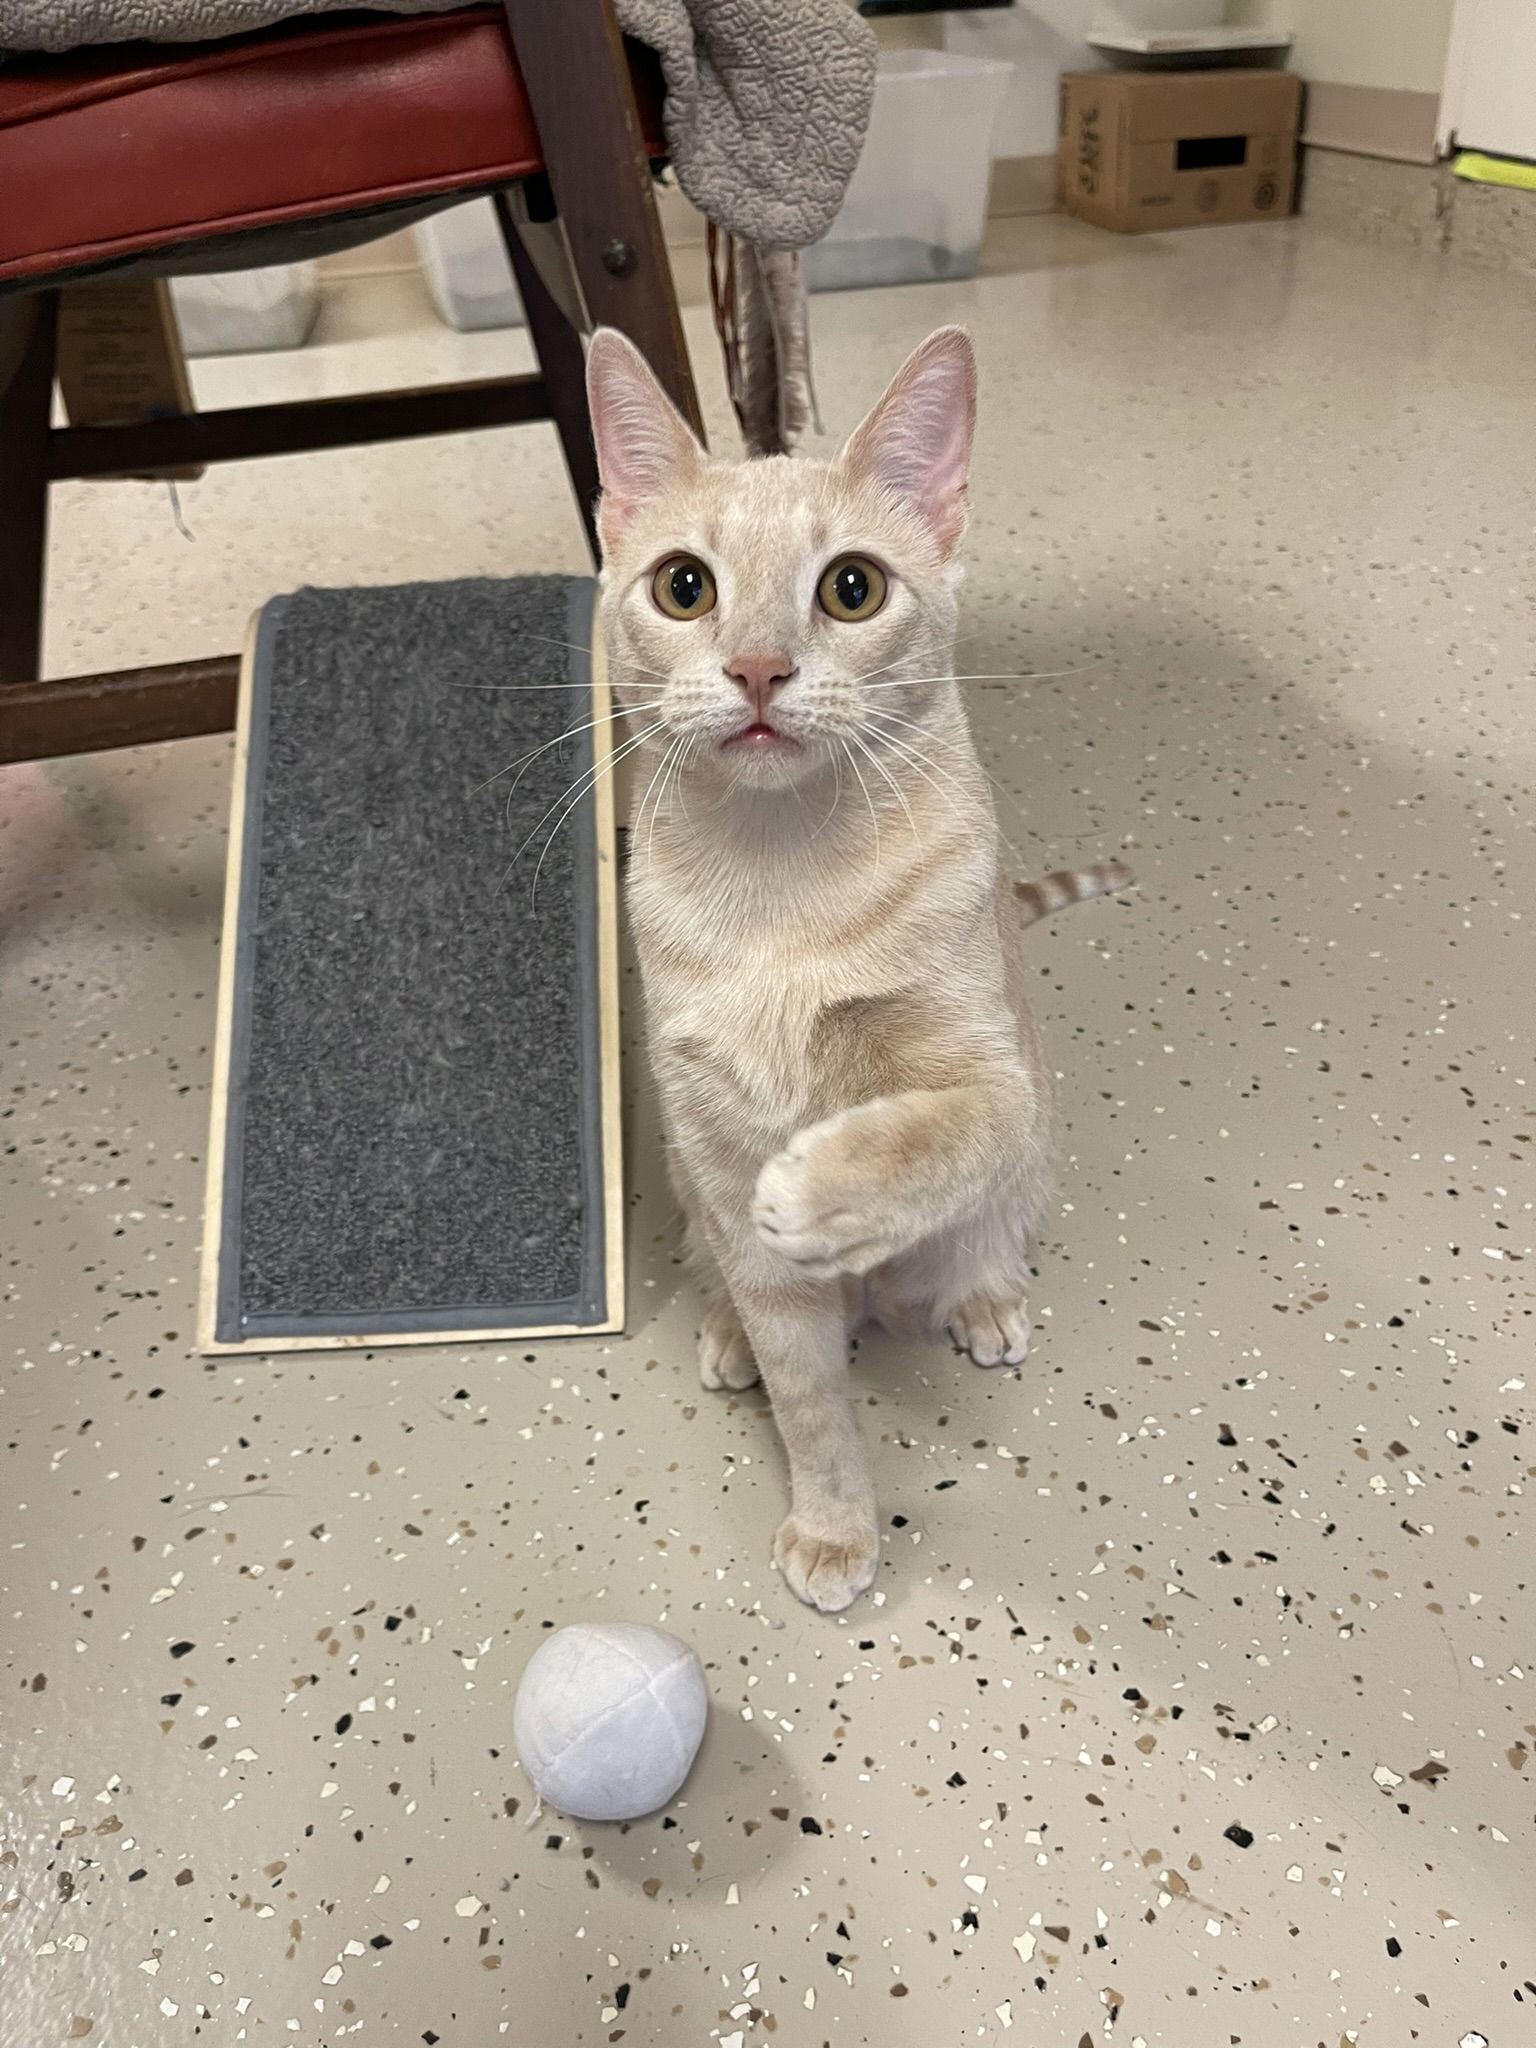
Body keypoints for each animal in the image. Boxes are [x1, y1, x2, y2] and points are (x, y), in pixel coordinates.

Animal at [581, 323, 1122, 1613]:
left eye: (852, 587)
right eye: (684, 586)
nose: (758, 668)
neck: (781, 881)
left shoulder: (996, 1077)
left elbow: (941, 1128)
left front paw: (826, 1189)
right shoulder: (711, 1139)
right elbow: (809, 1396)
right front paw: (834, 1521)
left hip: (1027, 1165)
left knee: (986, 1229)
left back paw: (980, 1299)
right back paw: (730, 1328)